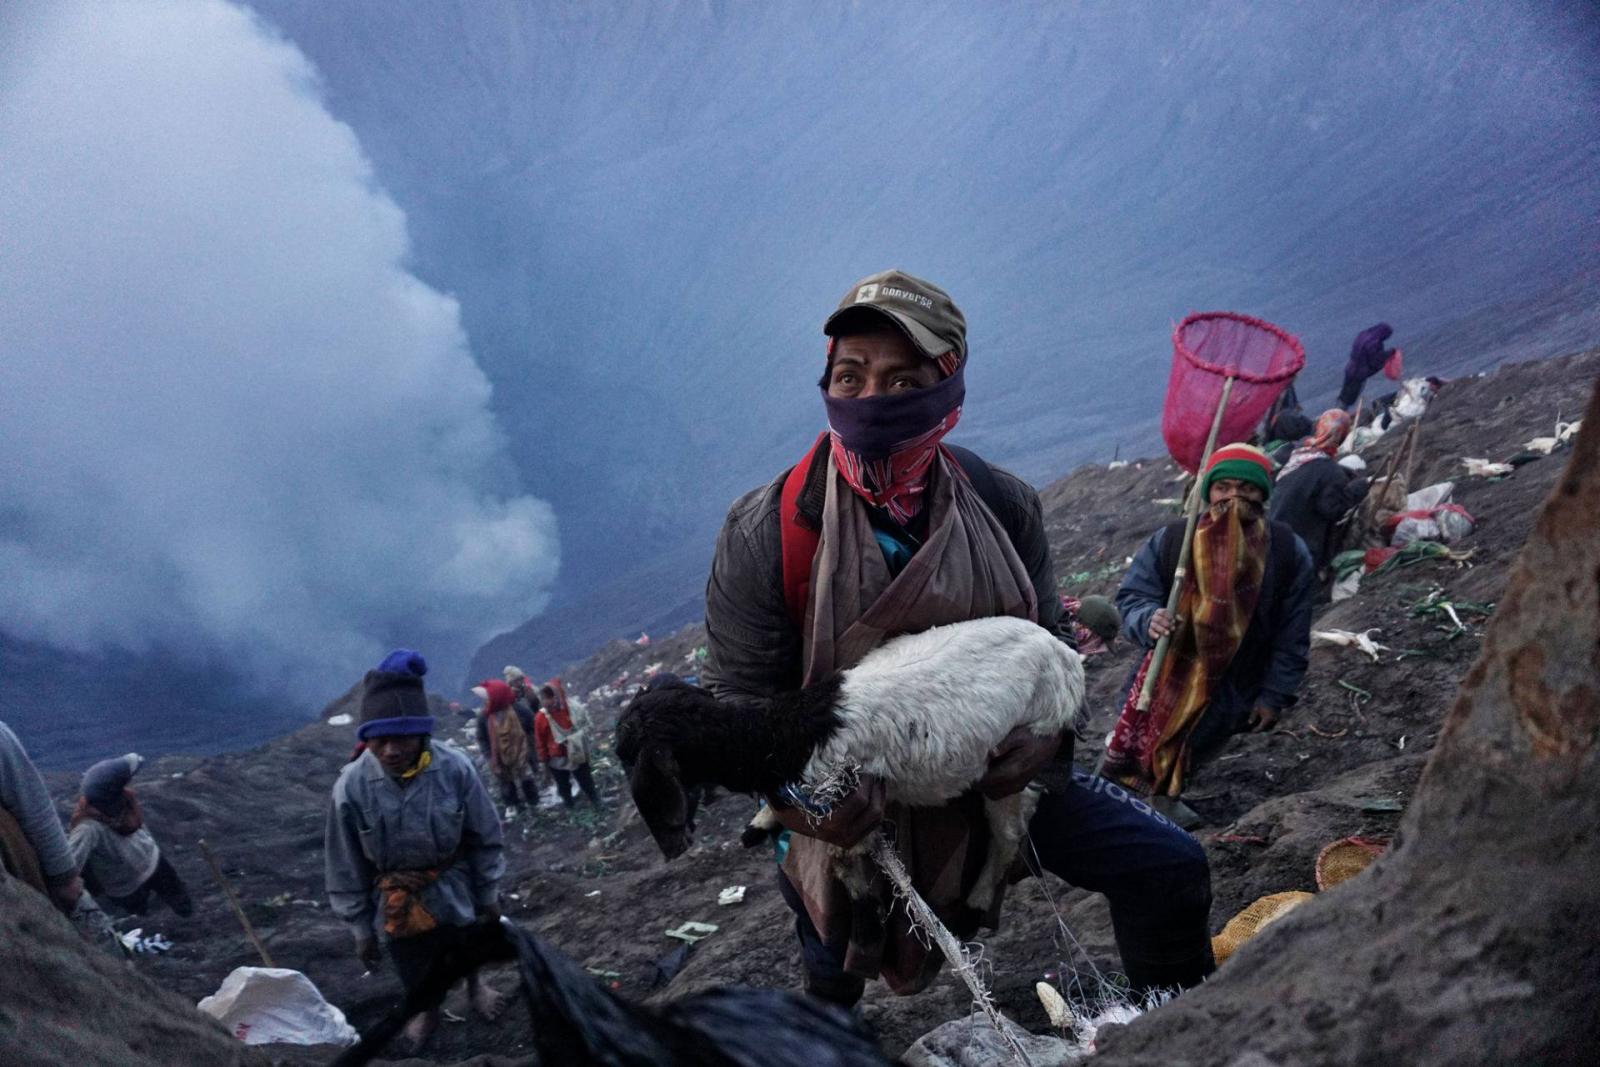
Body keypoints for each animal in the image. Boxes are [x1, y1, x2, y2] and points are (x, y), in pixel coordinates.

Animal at [611, 617, 1088, 908]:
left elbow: (843, 854)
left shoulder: (841, 799)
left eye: (627, 752)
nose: (674, 842)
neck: (787, 733)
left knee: (1010, 830)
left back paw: (980, 894)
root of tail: (1066, 654)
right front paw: (760, 822)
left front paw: (864, 892)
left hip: (1025, 745)